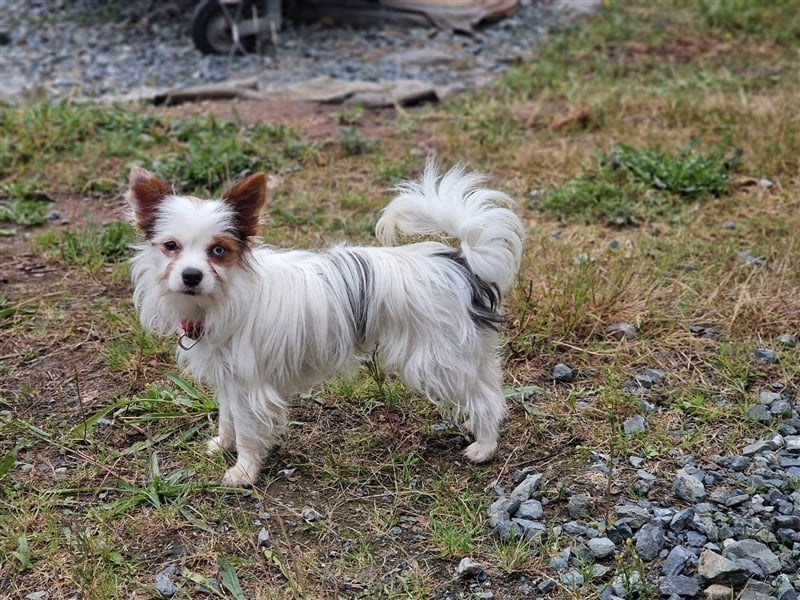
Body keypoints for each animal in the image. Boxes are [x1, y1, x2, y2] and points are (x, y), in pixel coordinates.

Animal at [126, 163, 524, 488]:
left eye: (218, 251)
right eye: (171, 246)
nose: (191, 276)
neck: (224, 295)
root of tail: (460, 263)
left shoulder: (251, 387)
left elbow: (249, 431)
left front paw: (243, 472)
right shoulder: (229, 379)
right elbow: (228, 418)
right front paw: (221, 445)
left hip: (437, 360)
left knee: (485, 399)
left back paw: (485, 447)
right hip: (462, 353)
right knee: (490, 386)